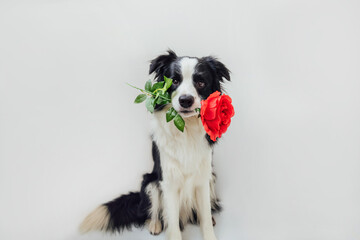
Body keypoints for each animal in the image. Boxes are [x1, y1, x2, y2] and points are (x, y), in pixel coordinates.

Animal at [79, 49, 231, 239]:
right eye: (174, 81)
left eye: (201, 82)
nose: (185, 100)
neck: (186, 129)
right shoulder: (168, 180)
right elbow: (172, 223)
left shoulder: (203, 178)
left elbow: (205, 217)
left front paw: (208, 227)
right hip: (150, 182)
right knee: (155, 211)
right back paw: (155, 224)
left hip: (211, 178)